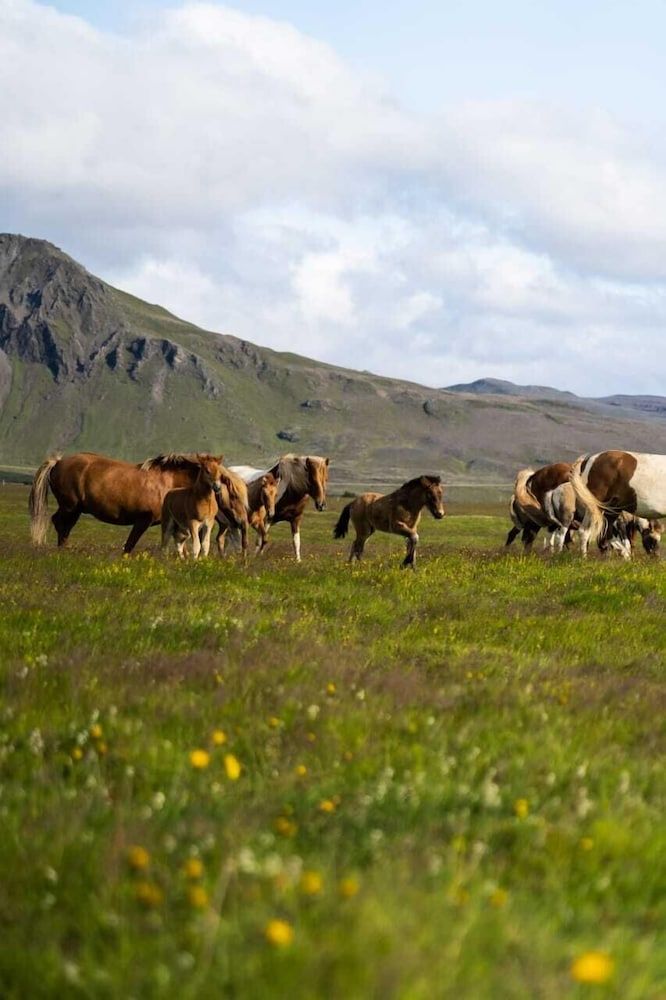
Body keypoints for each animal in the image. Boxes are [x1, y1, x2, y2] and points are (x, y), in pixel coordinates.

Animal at [28, 454, 246, 556]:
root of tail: (57, 462)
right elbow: (129, 546)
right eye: (234, 495)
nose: (242, 520)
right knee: (61, 525)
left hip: (73, 509)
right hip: (71, 508)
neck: (170, 483)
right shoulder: (143, 521)